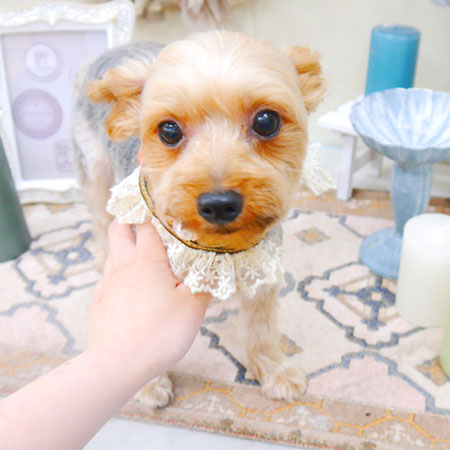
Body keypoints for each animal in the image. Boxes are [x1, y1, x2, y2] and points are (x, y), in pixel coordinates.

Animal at [72, 30, 325, 408]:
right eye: (169, 131)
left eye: (267, 121)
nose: (219, 204)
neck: (218, 249)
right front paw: (149, 385)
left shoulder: (264, 270)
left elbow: (262, 328)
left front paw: (274, 371)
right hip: (95, 171)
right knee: (100, 221)